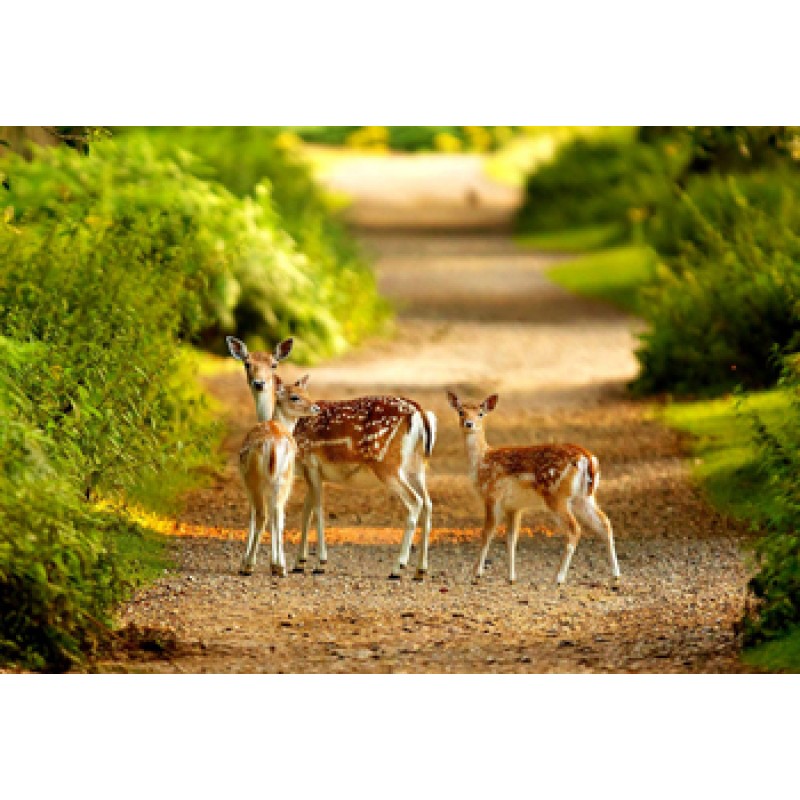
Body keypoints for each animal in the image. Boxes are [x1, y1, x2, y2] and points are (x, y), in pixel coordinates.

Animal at [238, 375, 320, 576]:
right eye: (295, 396)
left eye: (307, 392)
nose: (316, 408)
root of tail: (273, 447)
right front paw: (274, 563)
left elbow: (252, 516)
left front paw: (246, 561)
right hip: (282, 478)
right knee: (276, 513)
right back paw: (279, 566)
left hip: (257, 479)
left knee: (264, 514)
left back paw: (251, 565)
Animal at [446, 390, 620, 586]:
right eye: (461, 412)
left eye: (481, 413)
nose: (469, 424)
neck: (481, 461)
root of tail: (587, 458)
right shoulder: (514, 507)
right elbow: (511, 539)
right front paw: (511, 577)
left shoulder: (492, 495)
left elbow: (487, 533)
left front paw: (476, 573)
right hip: (584, 497)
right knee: (605, 523)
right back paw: (615, 574)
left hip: (556, 495)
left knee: (574, 529)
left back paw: (558, 577)